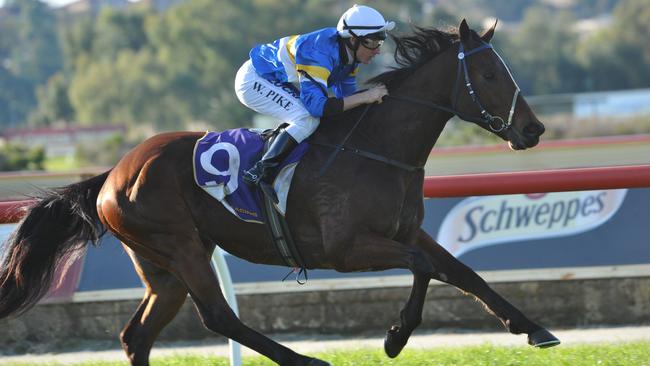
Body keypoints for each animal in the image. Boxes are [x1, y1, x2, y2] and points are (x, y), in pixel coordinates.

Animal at [0, 20, 556, 366]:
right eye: (489, 73)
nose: (533, 130)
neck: (377, 148)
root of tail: (115, 172)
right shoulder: (347, 250)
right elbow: (424, 269)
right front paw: (396, 337)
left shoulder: (408, 232)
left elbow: (462, 272)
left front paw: (533, 328)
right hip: (179, 247)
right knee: (217, 316)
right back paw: (303, 358)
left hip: (163, 266)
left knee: (138, 336)